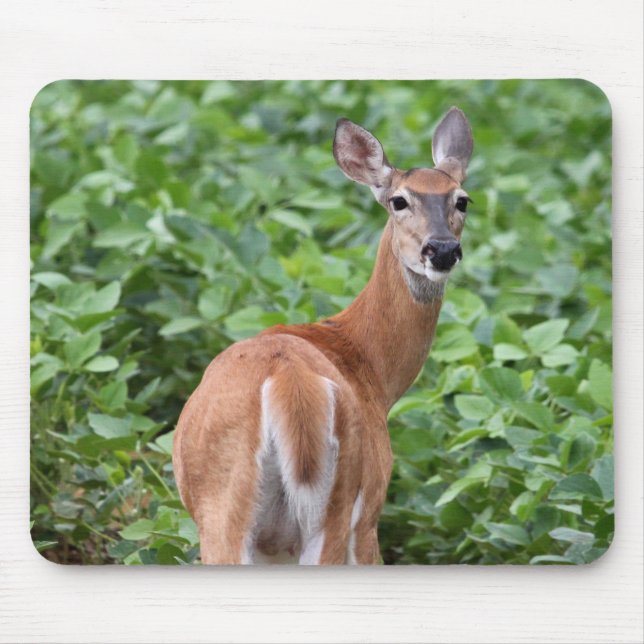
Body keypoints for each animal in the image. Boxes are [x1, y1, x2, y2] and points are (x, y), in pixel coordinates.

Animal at [173, 107, 474, 565]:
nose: (441, 250)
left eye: (462, 200)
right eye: (399, 200)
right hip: (335, 503)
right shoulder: (372, 503)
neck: (370, 369)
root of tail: (288, 383)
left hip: (225, 508)